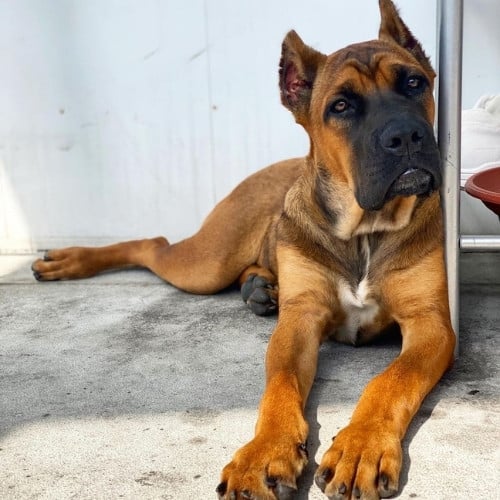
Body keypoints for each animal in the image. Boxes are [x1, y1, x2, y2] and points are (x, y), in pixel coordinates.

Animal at [32, 1, 458, 498]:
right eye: (341, 106)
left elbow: (391, 380)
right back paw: (71, 260)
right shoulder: (300, 319)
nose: (407, 137)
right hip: (206, 263)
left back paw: (258, 286)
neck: (364, 232)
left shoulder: (430, 324)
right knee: (154, 244)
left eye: (414, 83)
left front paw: (362, 445)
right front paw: (264, 453)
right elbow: (280, 386)